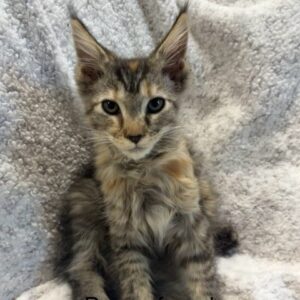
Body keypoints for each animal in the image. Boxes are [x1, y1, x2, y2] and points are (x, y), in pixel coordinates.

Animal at [56, 7, 238, 300]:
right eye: (110, 107)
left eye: (155, 104)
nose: (134, 135)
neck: (144, 172)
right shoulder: (125, 239)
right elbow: (135, 285)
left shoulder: (192, 221)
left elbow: (203, 275)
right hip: (85, 206)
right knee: (81, 267)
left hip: (206, 192)